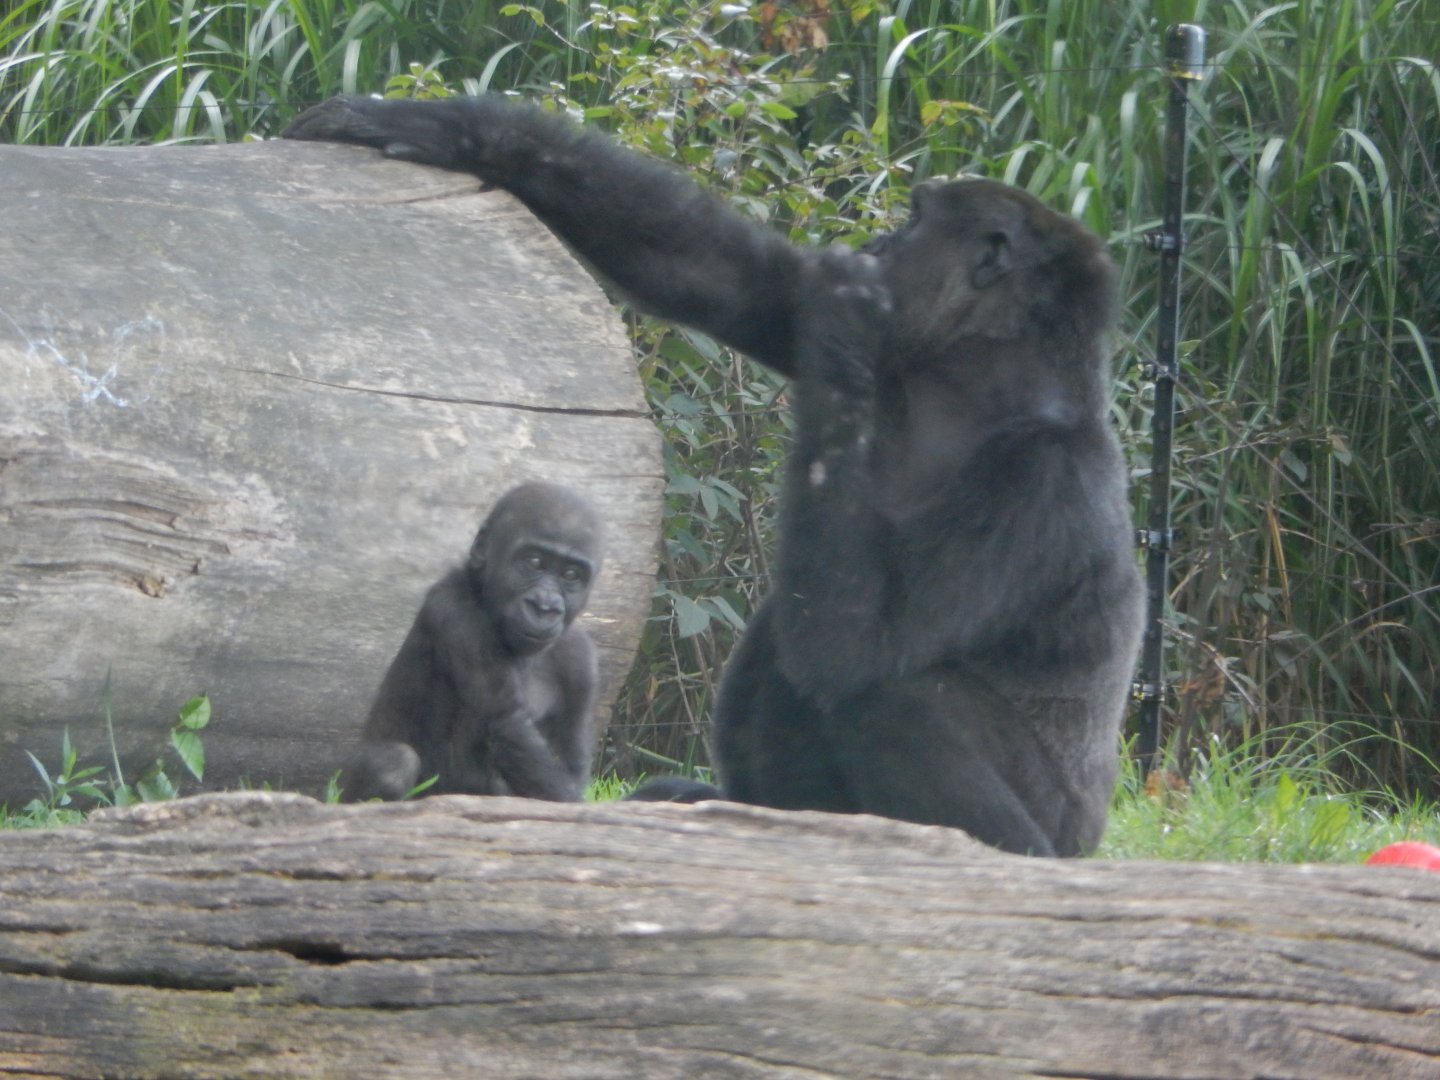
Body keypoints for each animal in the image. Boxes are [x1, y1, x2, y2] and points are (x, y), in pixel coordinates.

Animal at [341, 481, 602, 803]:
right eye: (534, 562)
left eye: (571, 575)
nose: (544, 607)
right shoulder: (456, 612)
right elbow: (507, 724)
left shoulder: (581, 660)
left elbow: (570, 758)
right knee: (393, 764)